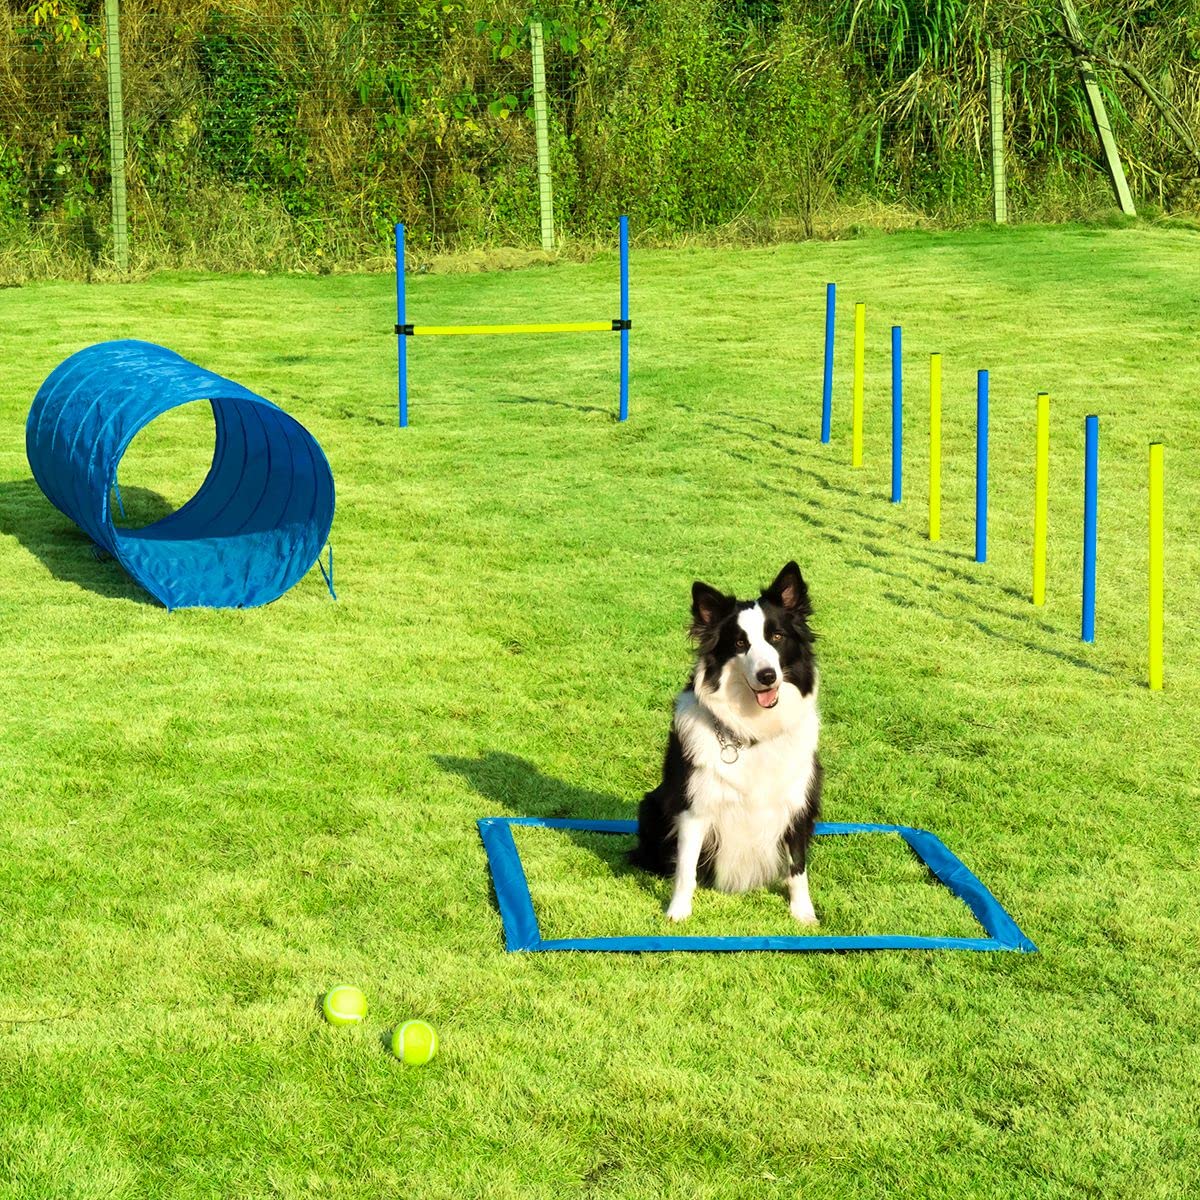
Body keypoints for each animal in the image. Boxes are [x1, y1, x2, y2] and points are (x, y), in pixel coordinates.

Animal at [633, 566, 820, 921]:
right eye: (739, 643)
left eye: (777, 637)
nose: (767, 676)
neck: (752, 732)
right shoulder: (694, 808)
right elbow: (686, 869)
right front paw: (678, 912)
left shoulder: (797, 806)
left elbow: (798, 868)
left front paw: (803, 914)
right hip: (650, 807)